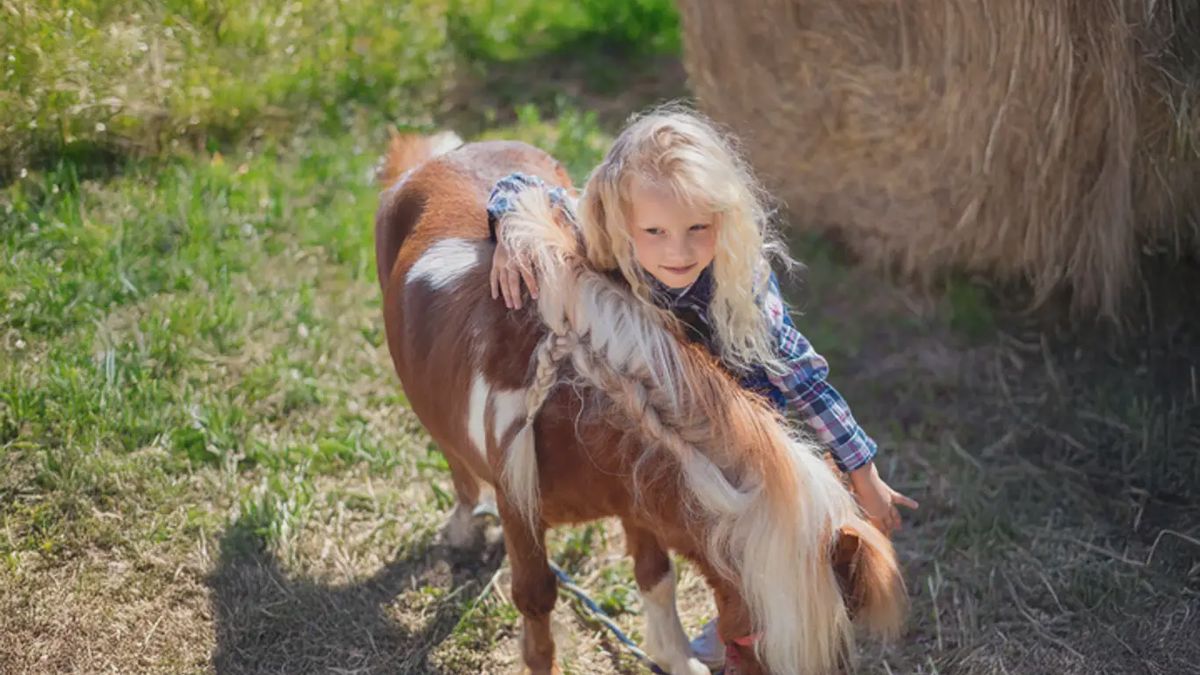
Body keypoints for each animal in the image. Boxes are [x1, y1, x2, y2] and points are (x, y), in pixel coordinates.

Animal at [374, 132, 906, 675]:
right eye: (750, 645)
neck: (572, 404)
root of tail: (440, 156)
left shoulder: (640, 496)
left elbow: (657, 576)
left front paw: (677, 658)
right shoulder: (520, 510)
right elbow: (536, 598)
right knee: (454, 460)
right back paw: (461, 527)